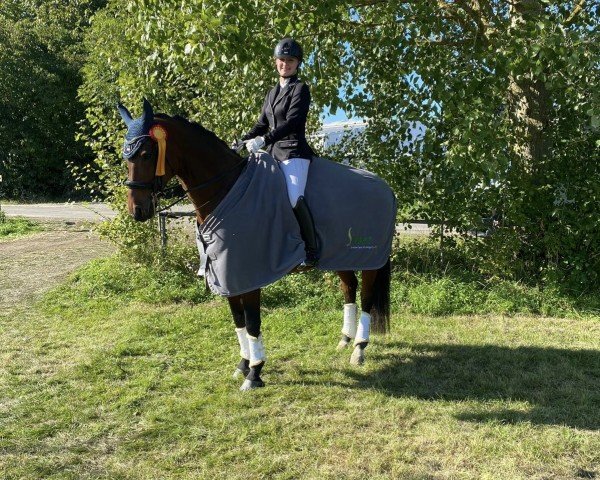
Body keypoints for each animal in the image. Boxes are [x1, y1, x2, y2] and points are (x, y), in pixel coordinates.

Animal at [118, 99, 394, 392]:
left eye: (146, 153)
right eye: (126, 156)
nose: (137, 211)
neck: (228, 190)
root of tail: (385, 187)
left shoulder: (248, 275)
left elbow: (252, 323)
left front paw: (255, 373)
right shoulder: (227, 275)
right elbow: (238, 321)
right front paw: (242, 365)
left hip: (370, 259)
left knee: (366, 297)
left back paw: (359, 348)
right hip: (340, 256)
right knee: (348, 288)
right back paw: (344, 340)